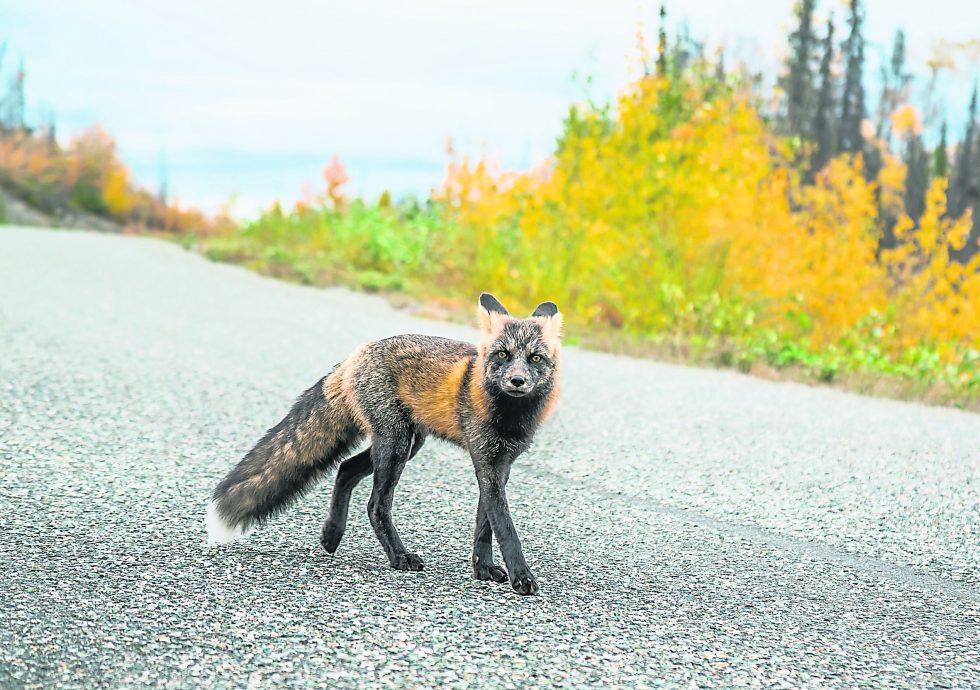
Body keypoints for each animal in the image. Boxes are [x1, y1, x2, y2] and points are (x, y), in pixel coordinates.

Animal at [205, 290, 560, 592]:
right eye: (503, 354)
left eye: (535, 359)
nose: (517, 380)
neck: (509, 417)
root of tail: (359, 352)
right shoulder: (485, 462)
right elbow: (505, 528)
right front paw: (521, 578)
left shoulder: (501, 466)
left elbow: (485, 526)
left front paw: (483, 569)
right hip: (396, 445)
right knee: (375, 504)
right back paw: (398, 557)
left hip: (404, 444)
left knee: (346, 469)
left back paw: (331, 535)